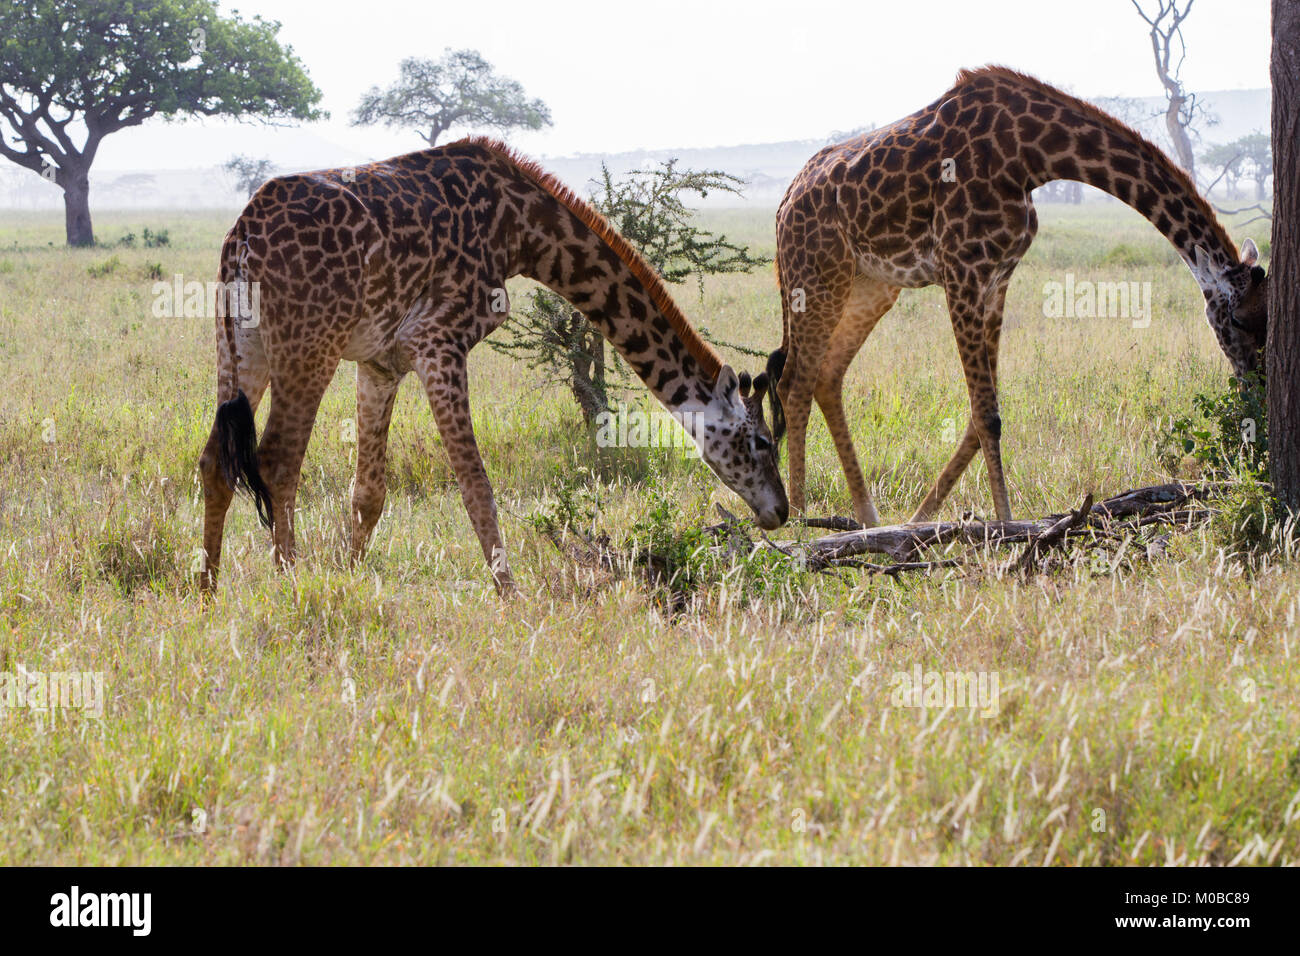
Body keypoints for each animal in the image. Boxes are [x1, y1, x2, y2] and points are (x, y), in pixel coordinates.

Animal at [764, 65, 1263, 530]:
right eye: (1238, 320)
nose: (1254, 385)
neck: (1031, 157)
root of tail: (784, 203)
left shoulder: (997, 277)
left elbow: (981, 415)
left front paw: (925, 517)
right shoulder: (962, 270)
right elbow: (986, 414)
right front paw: (1004, 525)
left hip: (870, 286)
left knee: (828, 376)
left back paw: (867, 517)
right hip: (817, 276)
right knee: (795, 381)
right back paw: (801, 520)